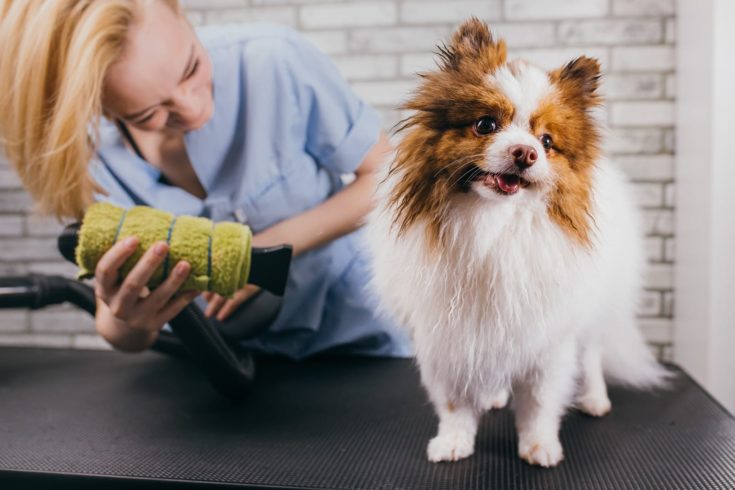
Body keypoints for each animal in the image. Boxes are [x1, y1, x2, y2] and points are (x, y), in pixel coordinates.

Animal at [366, 18, 668, 468]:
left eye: (547, 142)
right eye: (486, 125)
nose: (525, 153)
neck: (493, 225)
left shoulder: (550, 337)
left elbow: (540, 401)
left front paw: (539, 446)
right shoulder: (448, 336)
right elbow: (454, 402)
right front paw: (453, 441)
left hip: (596, 306)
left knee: (593, 353)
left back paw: (595, 398)